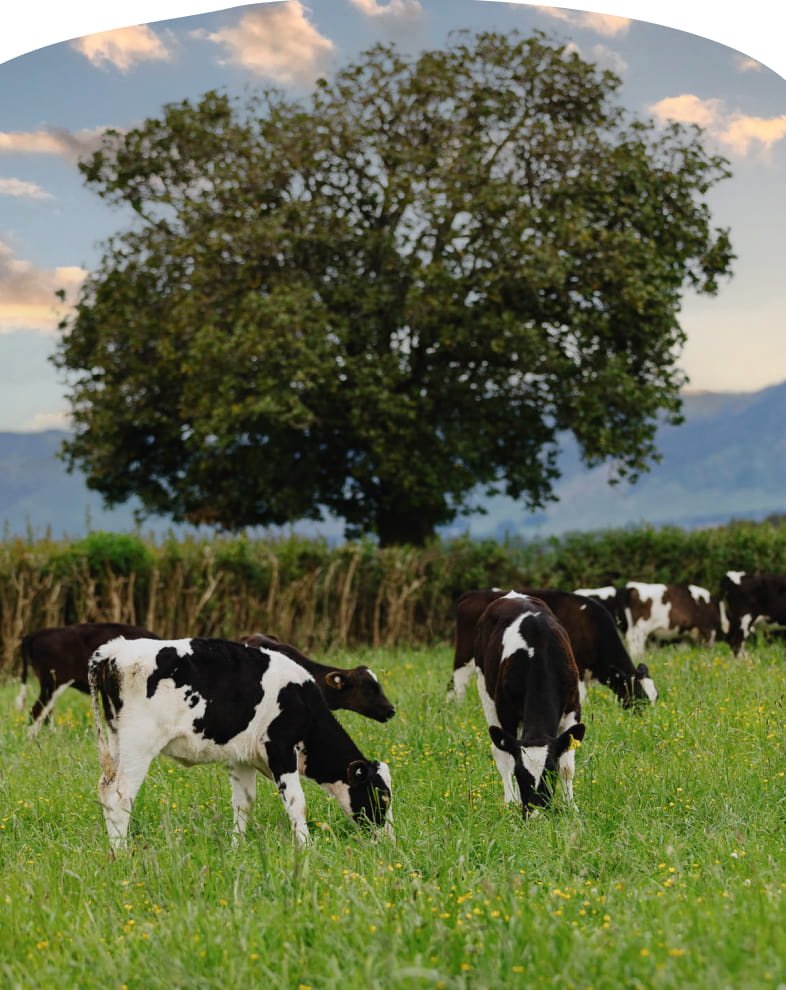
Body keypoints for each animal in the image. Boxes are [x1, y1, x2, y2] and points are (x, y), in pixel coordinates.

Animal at [449, 588, 657, 709]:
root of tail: (470, 595)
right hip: (465, 655)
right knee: (459, 681)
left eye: (656, 697)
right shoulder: (577, 667)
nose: (646, 719)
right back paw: (460, 705)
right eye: (640, 695)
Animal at [472, 592, 585, 815]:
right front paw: (513, 803)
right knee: (500, 752)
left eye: (550, 772)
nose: (536, 814)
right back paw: (510, 800)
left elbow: (567, 765)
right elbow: (508, 757)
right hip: (485, 690)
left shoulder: (573, 709)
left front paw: (572, 807)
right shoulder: (506, 713)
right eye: (520, 775)